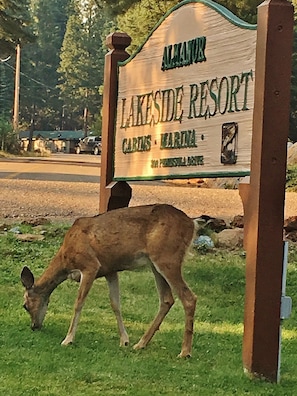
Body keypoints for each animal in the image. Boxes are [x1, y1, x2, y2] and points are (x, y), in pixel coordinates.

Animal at [20, 203, 197, 358]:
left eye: (25, 306)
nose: (34, 326)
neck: (65, 259)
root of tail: (192, 223)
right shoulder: (110, 270)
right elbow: (115, 304)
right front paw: (124, 340)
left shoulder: (90, 265)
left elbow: (78, 303)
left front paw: (68, 339)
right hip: (155, 264)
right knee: (167, 299)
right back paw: (140, 344)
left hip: (168, 258)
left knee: (189, 298)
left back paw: (185, 352)